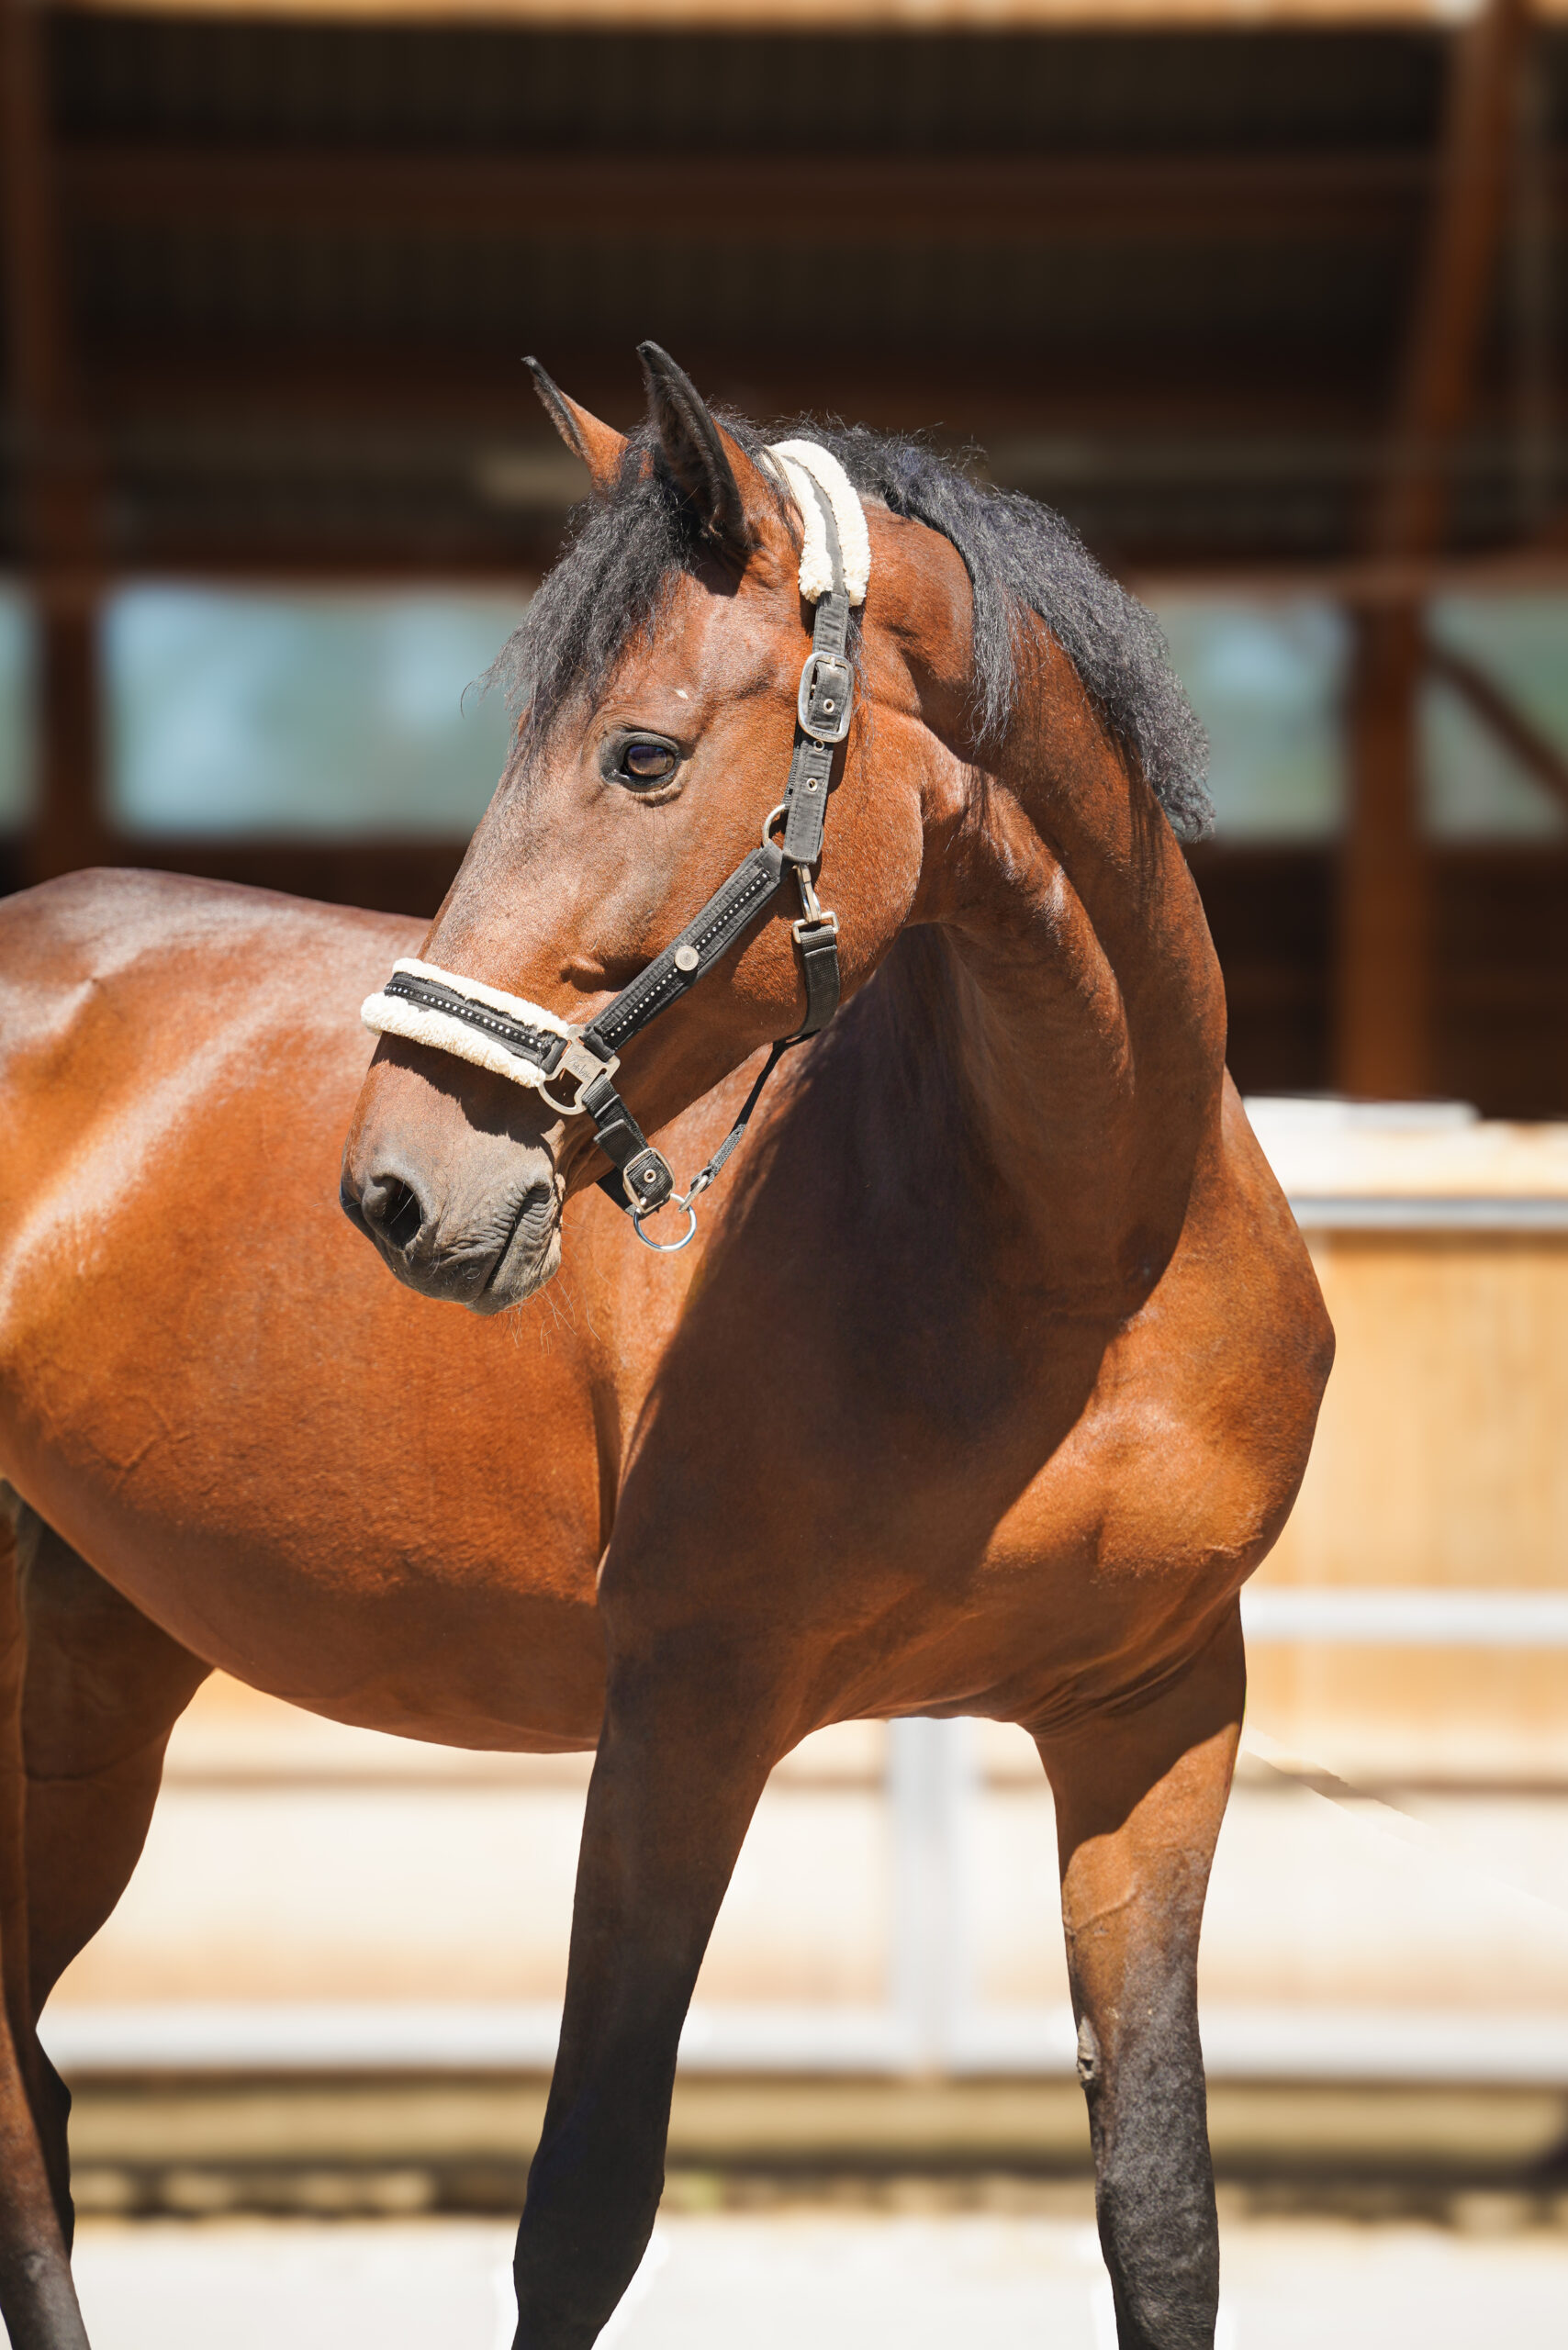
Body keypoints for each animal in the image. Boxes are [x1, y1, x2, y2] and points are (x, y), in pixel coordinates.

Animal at [0, 344, 1332, 2350]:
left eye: (640, 754)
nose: (397, 1189)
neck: (1079, 1260)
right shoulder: (681, 1724)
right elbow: (585, 2210)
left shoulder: (1155, 1723)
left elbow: (1163, 2214)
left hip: (90, 1685)